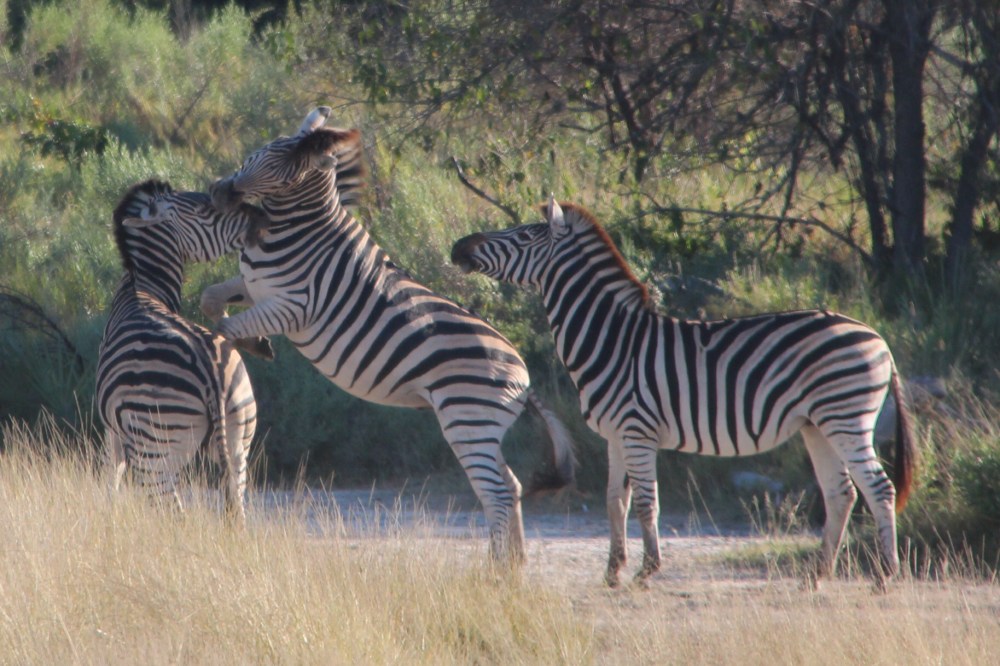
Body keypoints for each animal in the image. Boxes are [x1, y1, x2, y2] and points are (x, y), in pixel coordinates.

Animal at [96, 180, 266, 523]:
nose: (260, 218)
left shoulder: (114, 432)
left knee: (171, 513)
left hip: (156, 451)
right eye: (205, 209)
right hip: (239, 439)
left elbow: (112, 477)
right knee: (236, 512)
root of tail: (210, 372)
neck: (141, 288)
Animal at [195, 108, 576, 563]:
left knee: (498, 493)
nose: (217, 191)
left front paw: (246, 346)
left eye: (275, 166)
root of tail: (524, 377)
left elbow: (225, 329)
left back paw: (497, 569)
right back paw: (512, 566)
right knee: (511, 486)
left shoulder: (294, 308)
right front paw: (255, 343)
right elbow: (209, 298)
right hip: (483, 427)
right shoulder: (254, 289)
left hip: (466, 419)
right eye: (255, 154)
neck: (297, 230)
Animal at [451, 197, 917, 587]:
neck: (612, 338)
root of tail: (878, 339)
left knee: (880, 489)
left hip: (845, 418)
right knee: (842, 493)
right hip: (816, 425)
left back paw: (884, 578)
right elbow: (613, 503)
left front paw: (646, 571)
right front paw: (612, 572)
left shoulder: (637, 431)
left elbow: (645, 504)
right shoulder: (616, 435)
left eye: (525, 234)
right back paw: (817, 576)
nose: (459, 247)